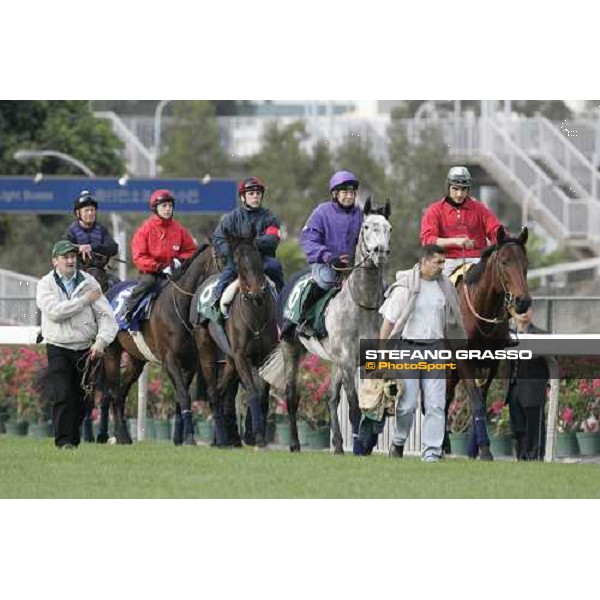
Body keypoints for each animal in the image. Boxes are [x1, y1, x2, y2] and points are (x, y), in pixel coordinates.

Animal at [100, 244, 218, 446]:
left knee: (122, 392)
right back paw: (120, 435)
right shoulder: (170, 360)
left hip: (136, 359)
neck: (179, 307)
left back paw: (125, 436)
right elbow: (184, 396)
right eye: (222, 256)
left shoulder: (190, 363)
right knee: (114, 392)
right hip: (111, 353)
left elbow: (180, 398)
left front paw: (179, 438)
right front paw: (189, 438)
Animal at [197, 230, 282, 446]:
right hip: (206, 350)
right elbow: (251, 392)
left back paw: (217, 438)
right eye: (236, 261)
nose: (257, 292)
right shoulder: (242, 356)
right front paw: (258, 435)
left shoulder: (265, 356)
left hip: (229, 360)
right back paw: (220, 439)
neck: (256, 316)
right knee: (213, 392)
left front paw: (258, 435)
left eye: (258, 255)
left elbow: (262, 396)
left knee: (220, 391)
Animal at [262, 198, 390, 454]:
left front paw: (369, 441)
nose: (380, 252)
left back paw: (339, 445)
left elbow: (371, 401)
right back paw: (294, 444)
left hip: (334, 361)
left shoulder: (366, 360)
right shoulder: (348, 362)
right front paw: (360, 444)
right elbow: (354, 405)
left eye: (388, 228)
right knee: (292, 396)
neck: (360, 306)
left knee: (331, 398)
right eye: (367, 227)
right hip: (292, 349)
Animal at [450, 225, 528, 460]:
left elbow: (482, 400)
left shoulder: (492, 362)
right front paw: (484, 449)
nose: (523, 302)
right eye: (503, 261)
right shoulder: (463, 361)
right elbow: (475, 400)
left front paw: (475, 449)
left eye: (526, 262)